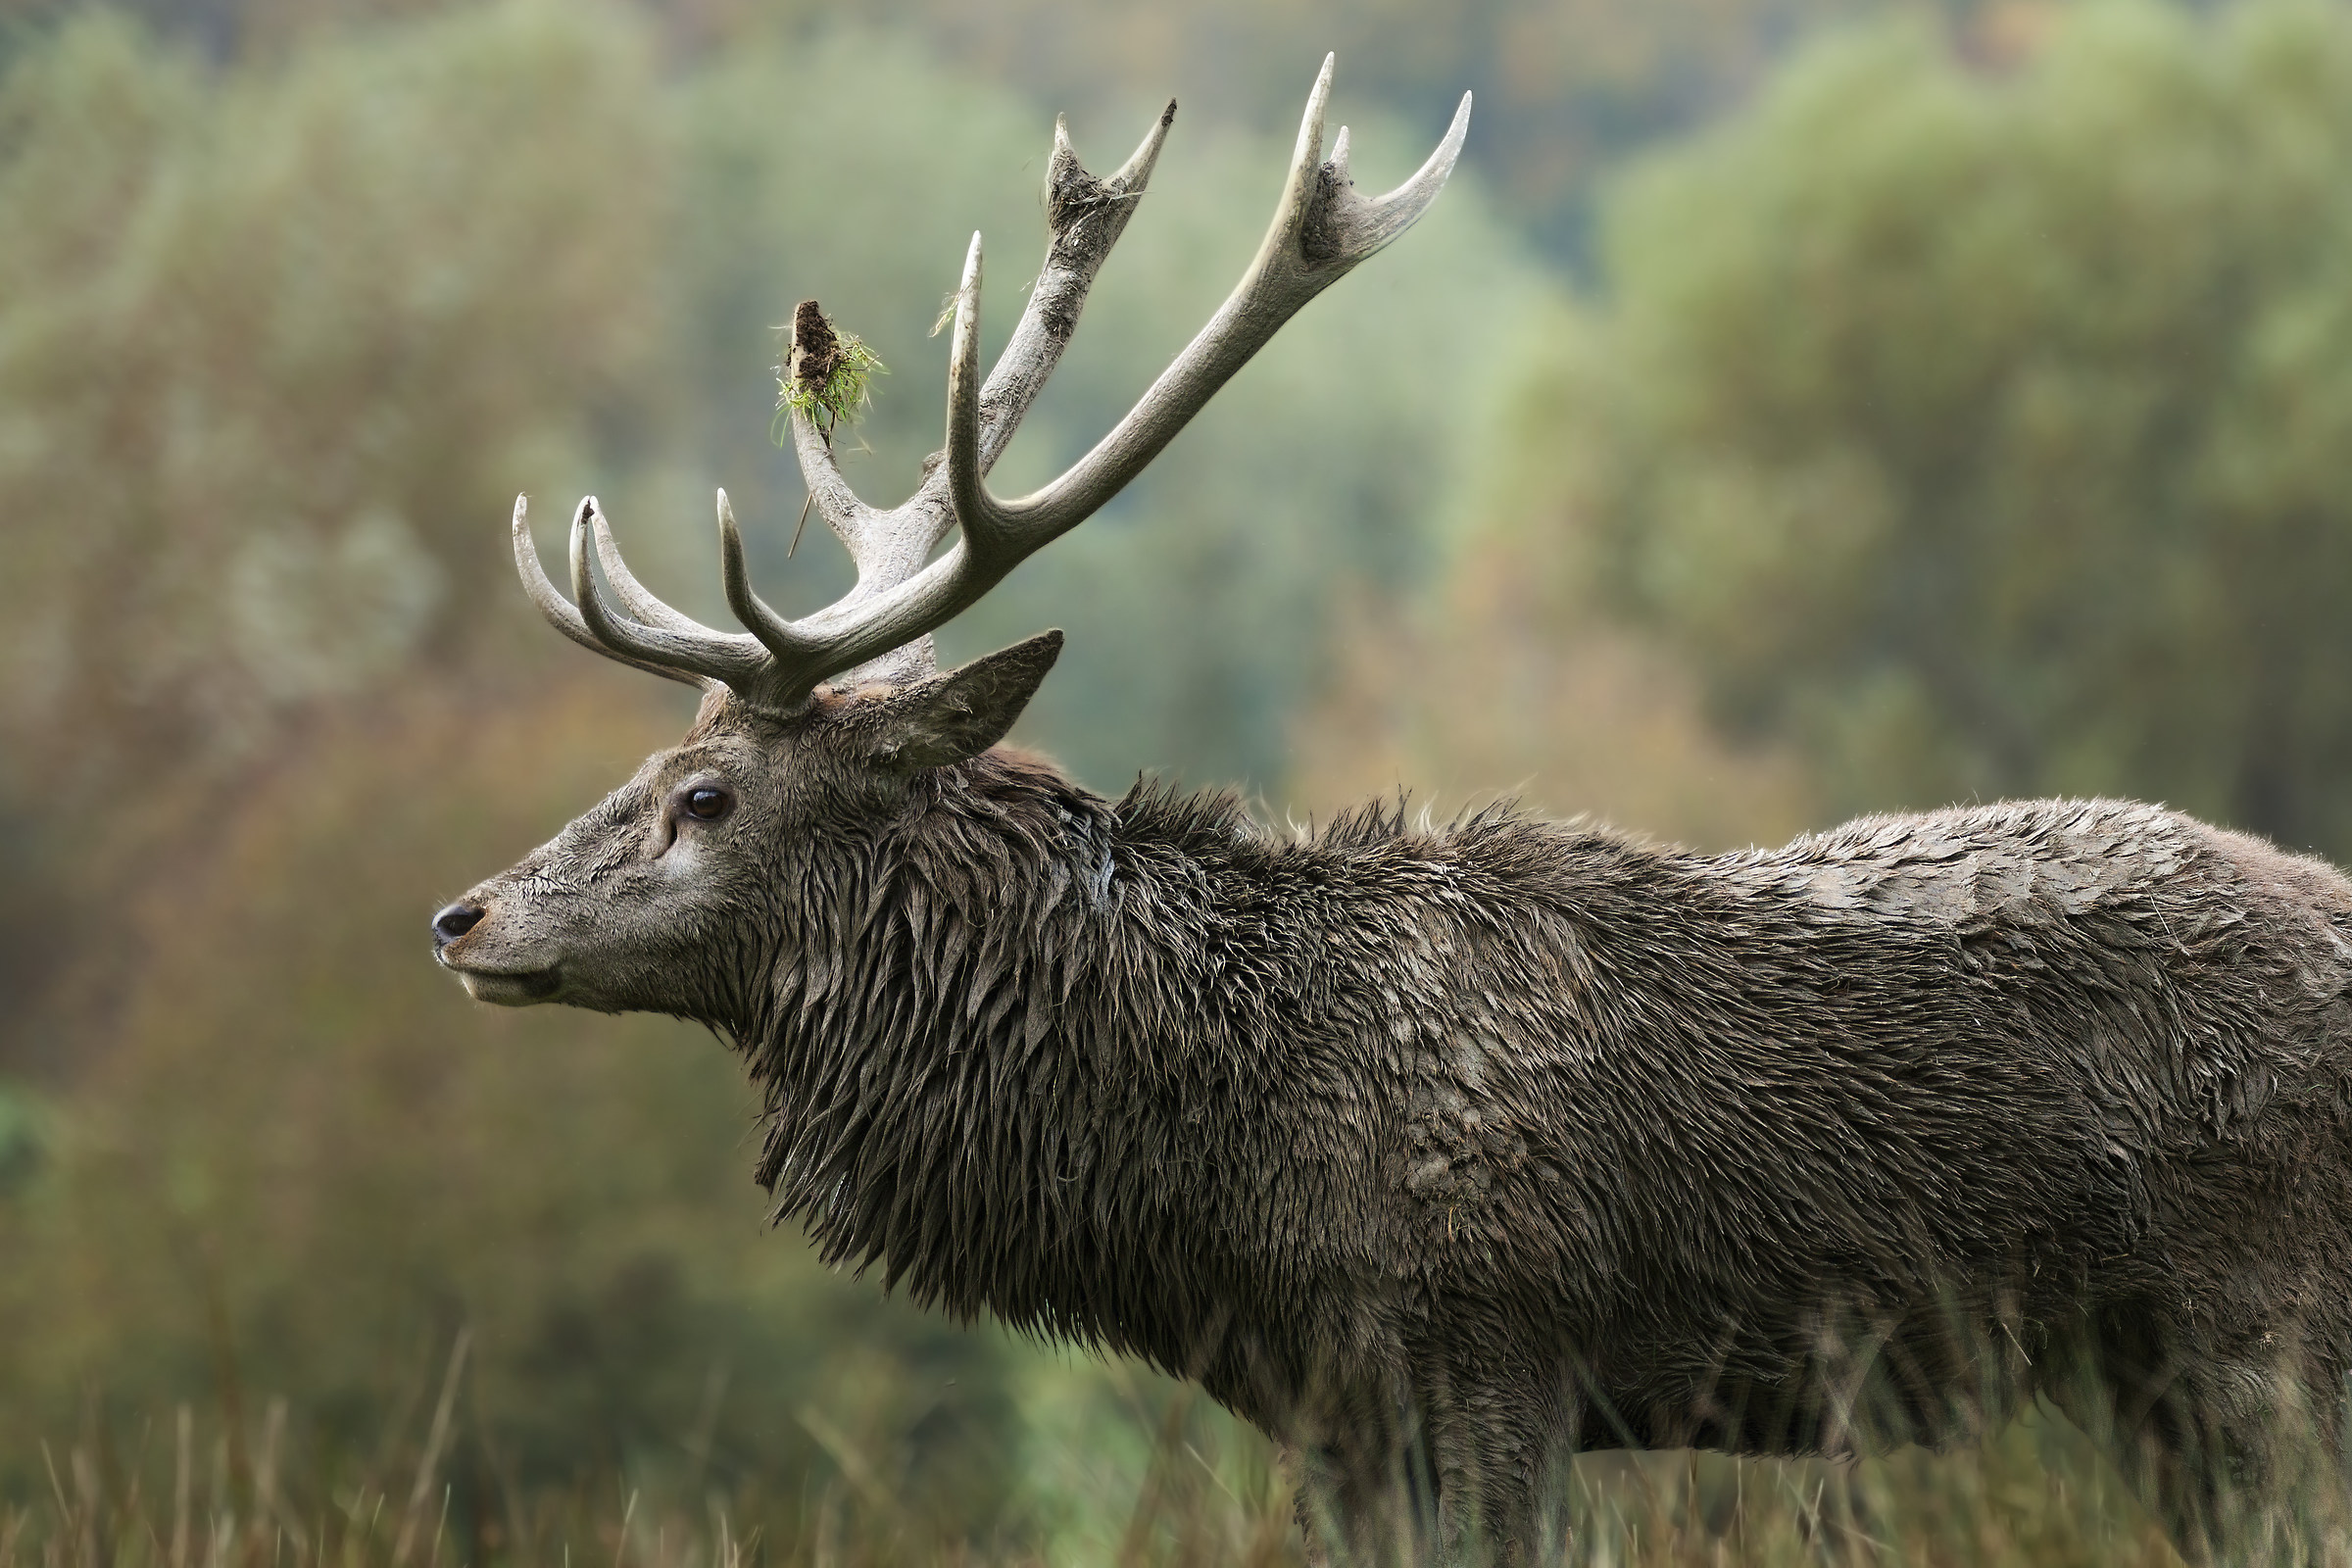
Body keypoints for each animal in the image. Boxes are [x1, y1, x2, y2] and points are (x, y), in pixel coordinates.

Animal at [432, 57, 2352, 1564]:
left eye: (705, 791)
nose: (462, 916)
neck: (1212, 1178)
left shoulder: (1498, 1345)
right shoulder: (1336, 1413)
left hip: (2261, 1329)